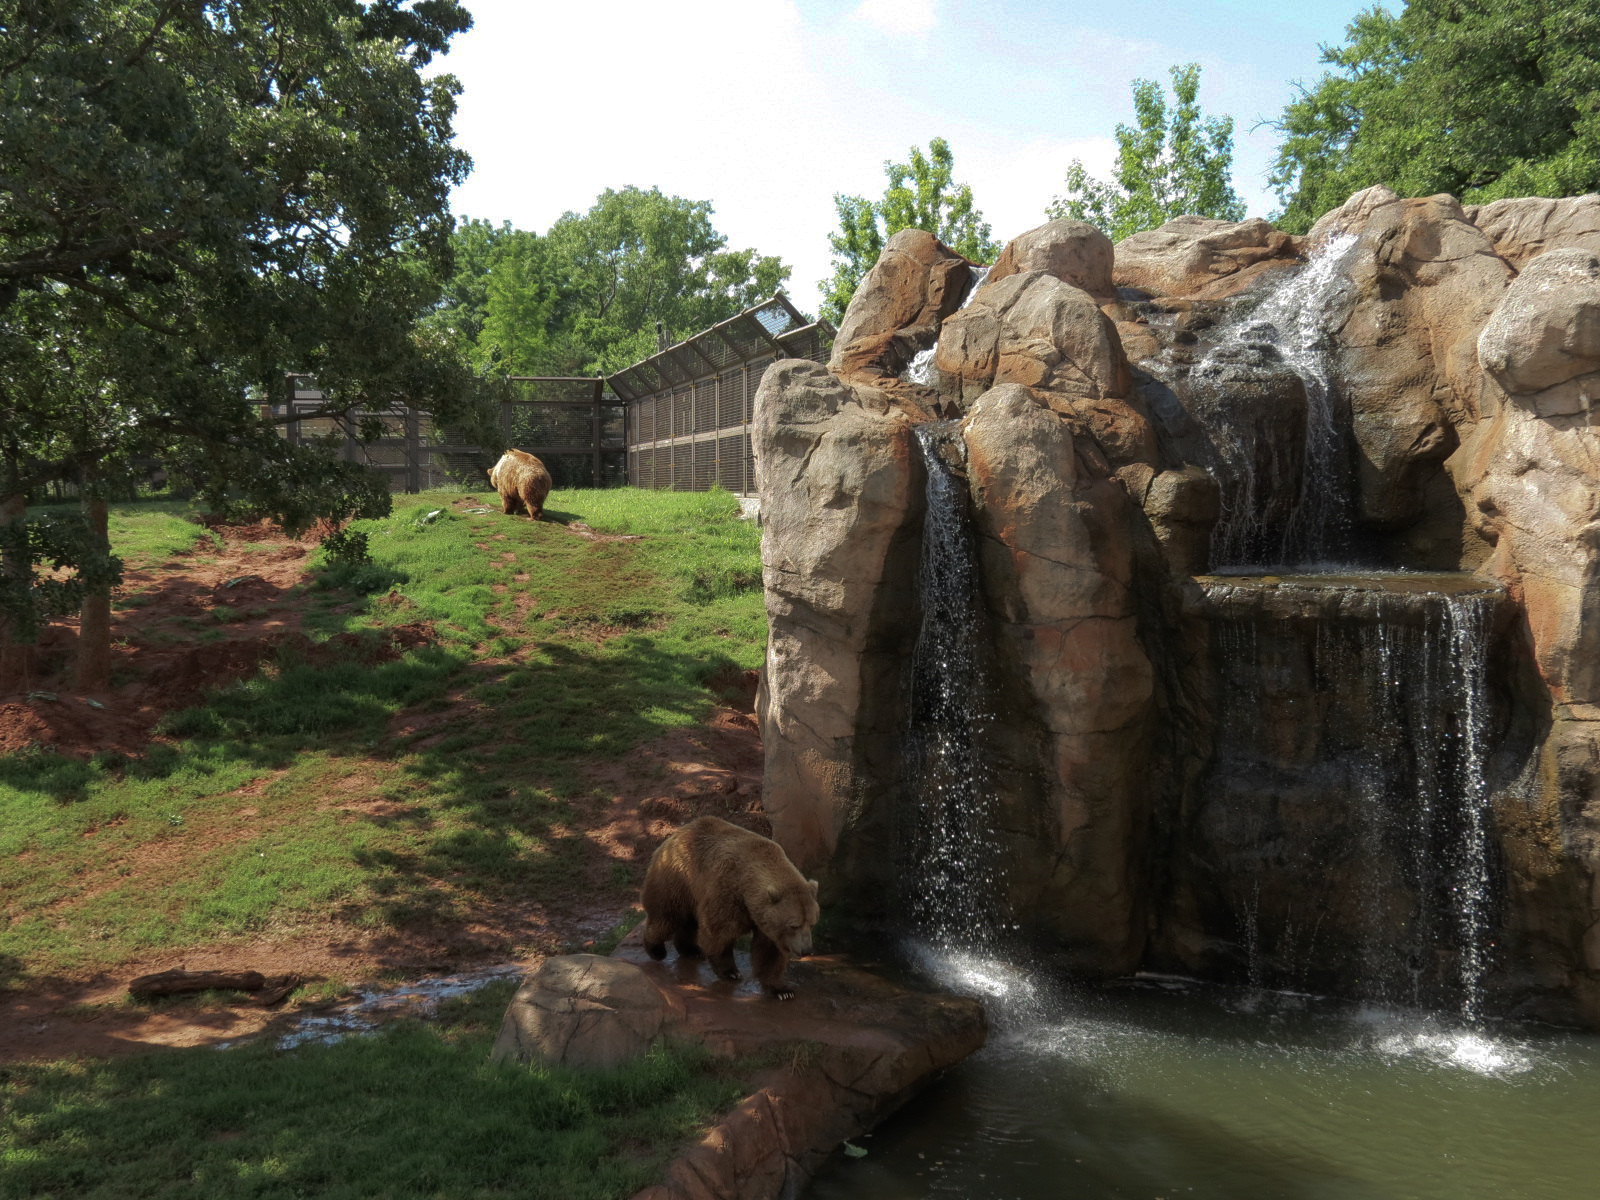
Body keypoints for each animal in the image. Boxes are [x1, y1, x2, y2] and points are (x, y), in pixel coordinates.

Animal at [641, 815, 820, 1000]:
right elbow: (718, 934)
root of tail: (673, 836)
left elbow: (769, 952)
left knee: (687, 922)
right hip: (677, 880)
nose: (807, 950)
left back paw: (690, 950)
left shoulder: (766, 920)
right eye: (794, 925)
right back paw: (655, 949)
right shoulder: (727, 892)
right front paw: (730, 971)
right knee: (666, 916)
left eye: (812, 923)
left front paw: (782, 990)